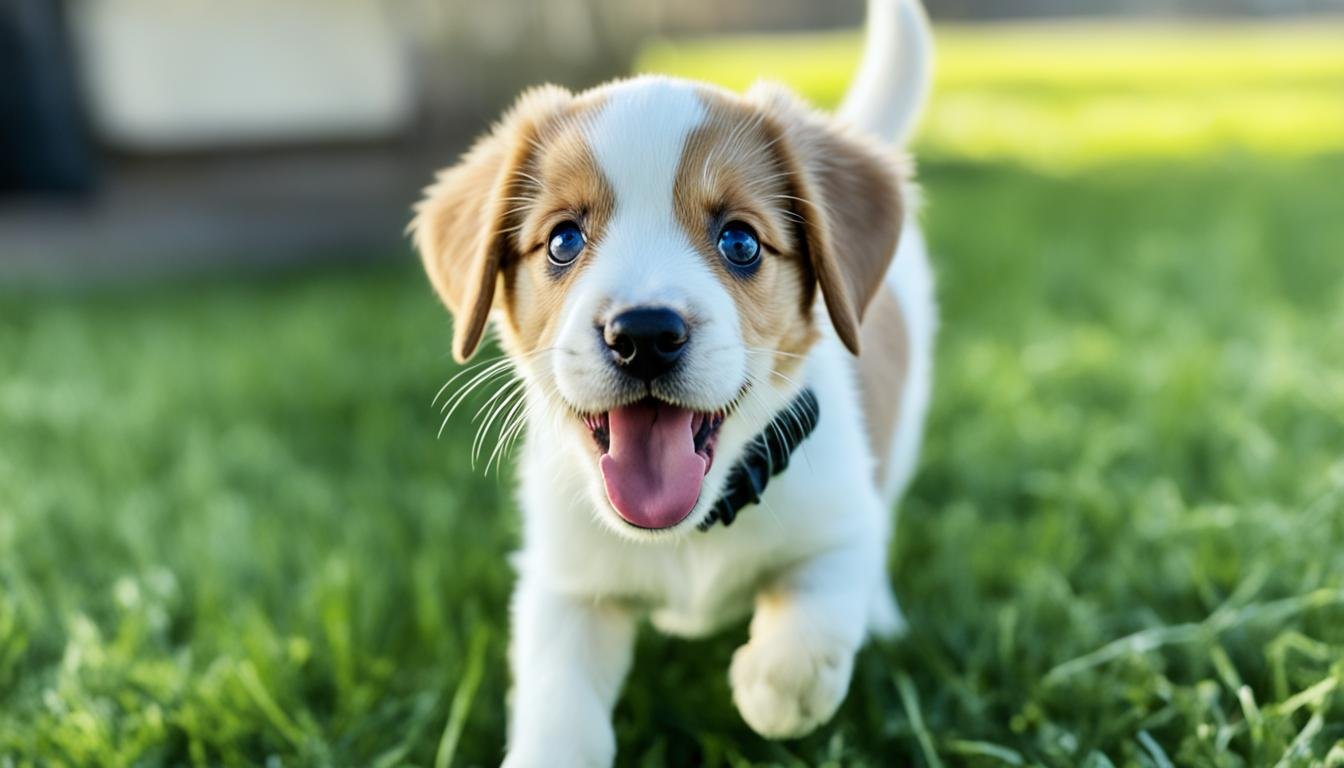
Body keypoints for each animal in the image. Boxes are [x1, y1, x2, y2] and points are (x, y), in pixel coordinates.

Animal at [408, 0, 935, 763]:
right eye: (562, 240)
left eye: (740, 242)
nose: (644, 335)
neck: (689, 533)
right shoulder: (564, 590)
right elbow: (558, 707)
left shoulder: (841, 524)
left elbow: (815, 619)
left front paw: (773, 691)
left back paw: (884, 620)